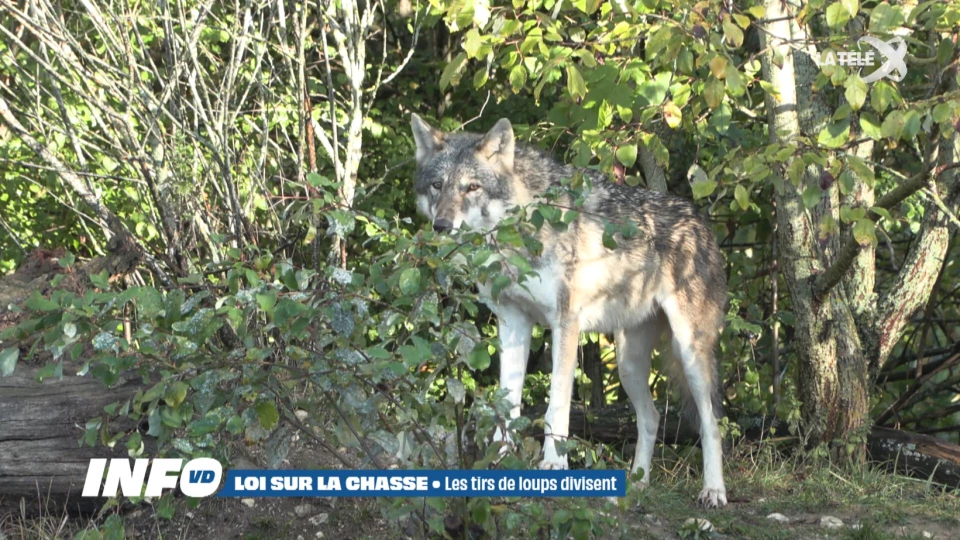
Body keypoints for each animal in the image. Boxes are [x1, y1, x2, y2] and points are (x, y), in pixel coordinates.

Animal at [410, 114, 728, 508]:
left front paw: (552, 465)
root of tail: (702, 222)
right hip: (628, 364)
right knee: (652, 417)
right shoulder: (513, 322)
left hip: (688, 353)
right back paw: (637, 484)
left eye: (472, 187)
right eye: (437, 185)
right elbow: (508, 403)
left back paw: (713, 490)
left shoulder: (566, 324)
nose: (441, 225)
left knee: (711, 423)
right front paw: (499, 462)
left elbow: (556, 405)